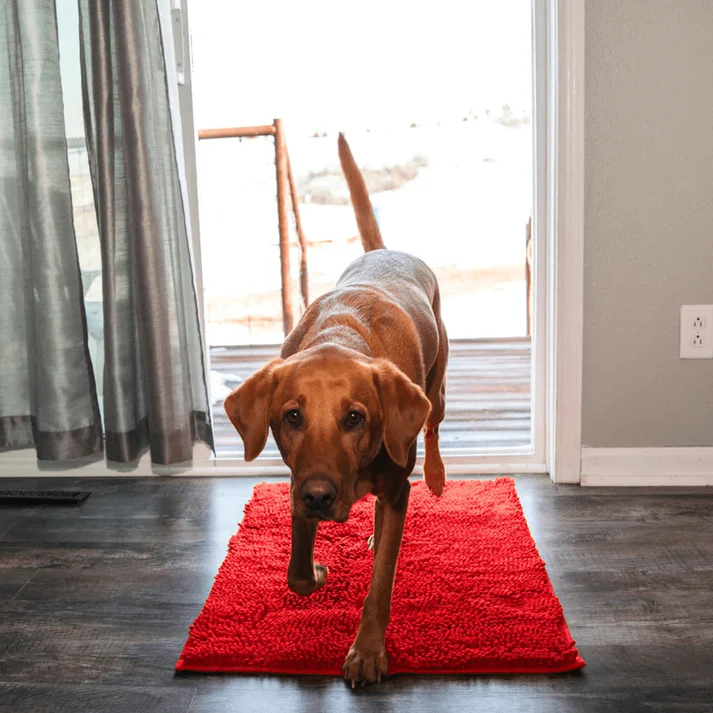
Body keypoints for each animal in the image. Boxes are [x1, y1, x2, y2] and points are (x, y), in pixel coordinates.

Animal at [225, 134, 448, 684]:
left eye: (355, 417)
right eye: (291, 416)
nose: (321, 498)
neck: (341, 336)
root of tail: (386, 251)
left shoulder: (392, 485)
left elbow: (381, 584)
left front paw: (367, 651)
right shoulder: (298, 480)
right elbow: (297, 574)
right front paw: (318, 570)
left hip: (436, 387)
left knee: (432, 427)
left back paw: (432, 477)